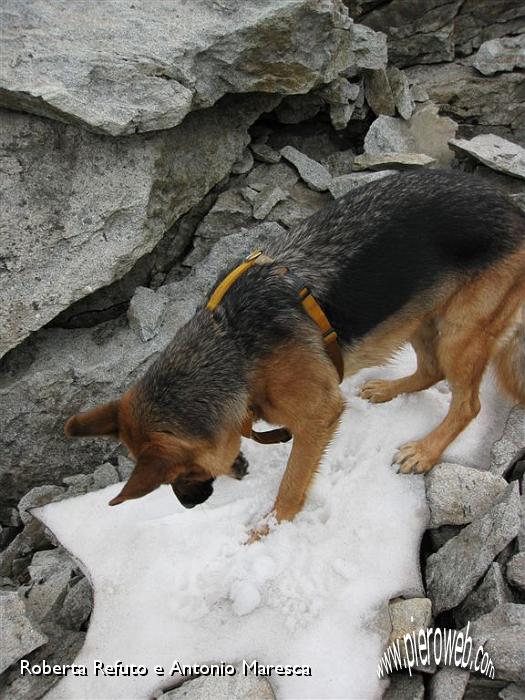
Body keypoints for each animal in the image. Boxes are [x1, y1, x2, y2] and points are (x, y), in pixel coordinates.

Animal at [65, 170, 524, 536]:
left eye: (182, 474)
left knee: (467, 403)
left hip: (459, 331)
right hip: (421, 314)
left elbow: (291, 484)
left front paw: (268, 529)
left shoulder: (318, 417)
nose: (189, 504)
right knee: (431, 371)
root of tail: (514, 208)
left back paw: (425, 452)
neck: (233, 345)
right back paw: (387, 390)